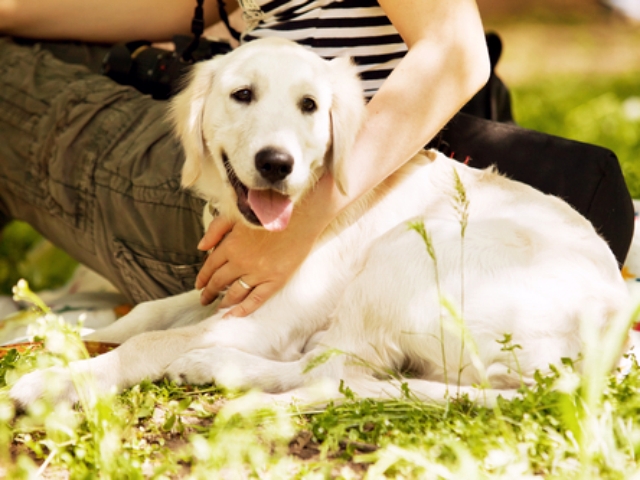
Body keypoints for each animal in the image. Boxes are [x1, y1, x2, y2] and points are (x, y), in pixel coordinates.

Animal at [10, 37, 632, 406]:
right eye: (242, 95)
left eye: (310, 106)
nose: (276, 163)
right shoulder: (224, 286)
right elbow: (144, 315)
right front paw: (52, 339)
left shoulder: (267, 316)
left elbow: (146, 343)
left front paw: (52, 381)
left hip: (404, 256)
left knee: (334, 372)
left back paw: (217, 366)